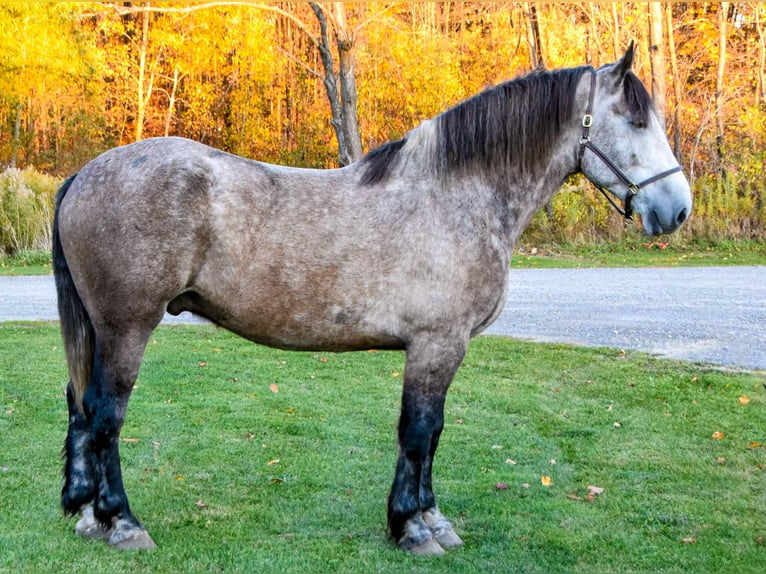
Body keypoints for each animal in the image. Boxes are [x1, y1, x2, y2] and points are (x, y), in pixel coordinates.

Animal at [54, 45, 688, 560]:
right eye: (635, 119)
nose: (677, 209)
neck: (456, 196)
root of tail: (84, 173)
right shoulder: (436, 345)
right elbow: (419, 430)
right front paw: (412, 528)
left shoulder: (444, 349)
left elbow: (433, 432)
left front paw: (433, 519)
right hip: (128, 328)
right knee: (106, 415)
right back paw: (122, 522)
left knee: (81, 407)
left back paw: (87, 514)